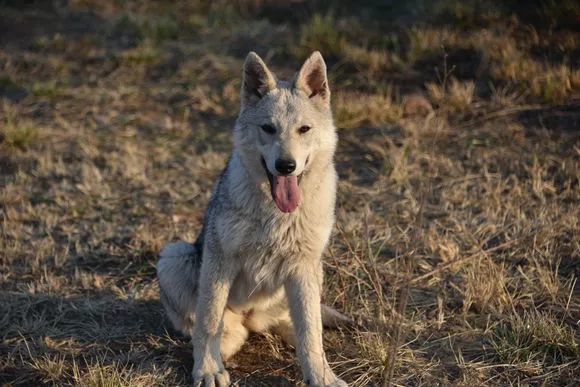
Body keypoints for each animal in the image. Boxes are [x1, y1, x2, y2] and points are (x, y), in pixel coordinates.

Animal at [156, 51, 348, 387]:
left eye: (304, 129)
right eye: (268, 128)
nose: (286, 166)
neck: (275, 214)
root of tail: (251, 316)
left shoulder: (303, 267)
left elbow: (311, 334)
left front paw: (321, 375)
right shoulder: (220, 259)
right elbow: (208, 321)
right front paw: (207, 369)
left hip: (311, 275)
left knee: (289, 324)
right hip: (174, 255)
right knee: (221, 329)